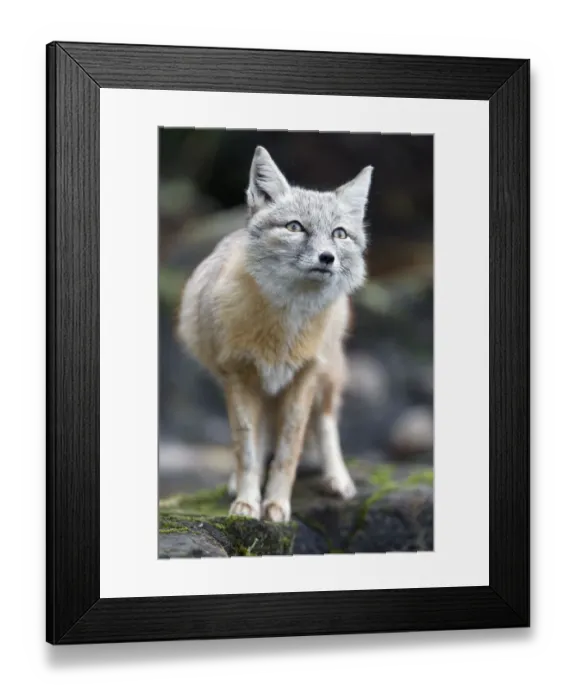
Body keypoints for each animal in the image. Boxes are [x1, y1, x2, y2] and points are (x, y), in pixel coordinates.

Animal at [177, 146, 373, 523]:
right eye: (295, 227)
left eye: (339, 234)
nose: (327, 258)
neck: (283, 332)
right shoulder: (238, 376)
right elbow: (247, 450)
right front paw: (248, 502)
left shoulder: (304, 377)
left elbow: (289, 451)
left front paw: (277, 504)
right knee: (261, 435)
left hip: (327, 375)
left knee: (326, 422)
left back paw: (337, 479)